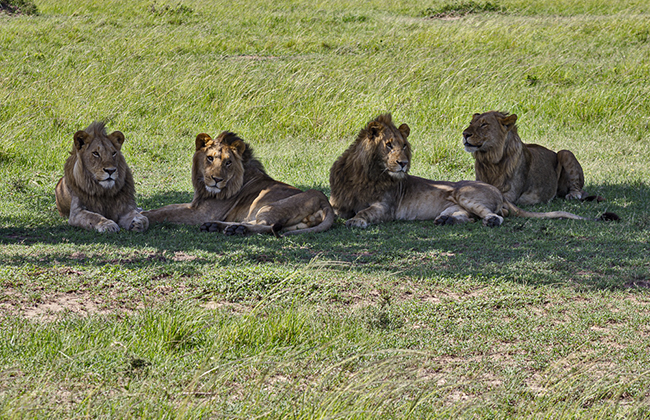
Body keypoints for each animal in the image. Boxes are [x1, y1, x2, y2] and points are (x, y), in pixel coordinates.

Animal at [142, 131, 334, 236]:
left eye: (228, 162)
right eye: (209, 158)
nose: (217, 180)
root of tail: (325, 202)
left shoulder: (201, 213)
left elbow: (166, 213)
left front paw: (144, 216)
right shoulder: (194, 204)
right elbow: (166, 208)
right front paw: (142, 212)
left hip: (268, 207)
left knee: (267, 226)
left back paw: (234, 229)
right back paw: (219, 227)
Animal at [460, 110, 588, 205]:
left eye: (484, 124)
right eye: (471, 123)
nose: (465, 134)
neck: (489, 160)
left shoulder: (510, 195)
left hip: (565, 152)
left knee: (579, 188)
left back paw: (573, 195)